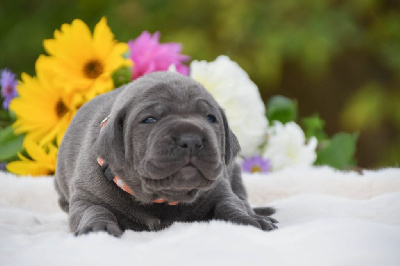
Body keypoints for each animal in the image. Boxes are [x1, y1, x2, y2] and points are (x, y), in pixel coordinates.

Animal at [54, 71, 276, 236]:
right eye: (150, 119)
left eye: (210, 118)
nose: (191, 139)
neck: (160, 200)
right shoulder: (86, 196)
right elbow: (94, 210)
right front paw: (97, 228)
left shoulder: (219, 189)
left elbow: (231, 204)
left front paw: (248, 220)